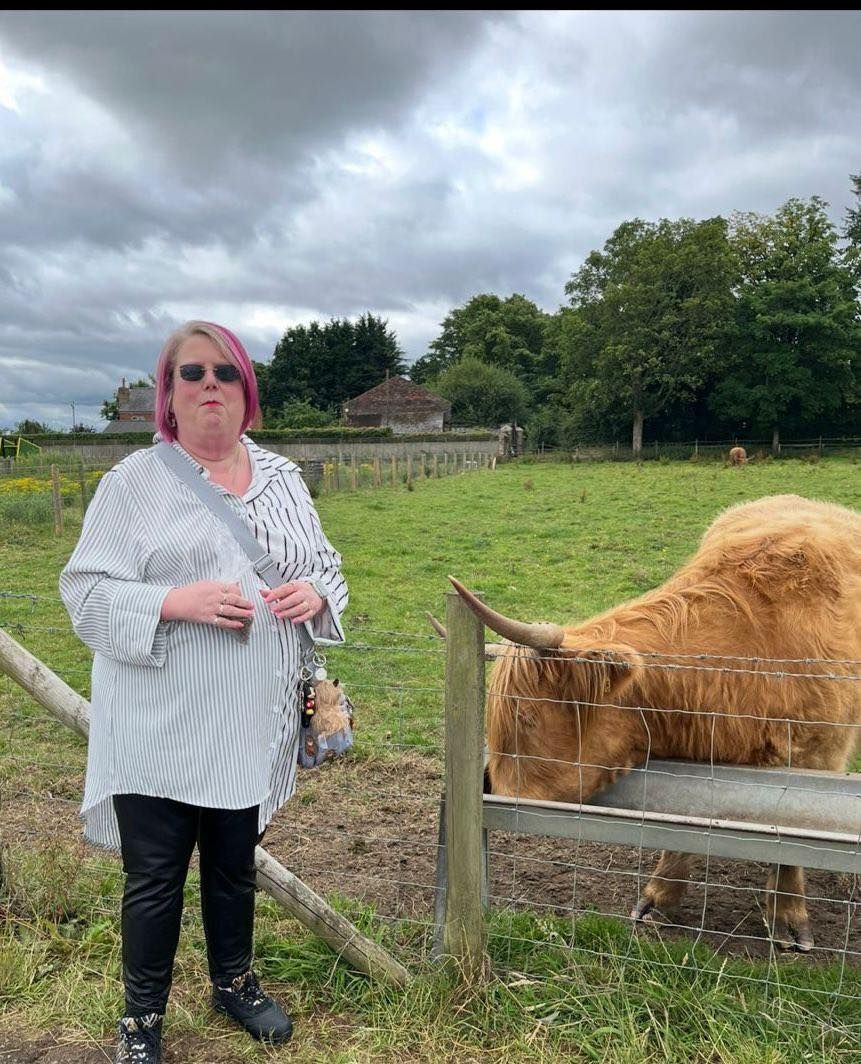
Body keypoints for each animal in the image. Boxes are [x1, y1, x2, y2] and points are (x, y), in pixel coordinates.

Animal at [447, 494, 861, 951]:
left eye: (527, 718)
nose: (494, 791)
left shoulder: (819, 758)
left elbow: (790, 841)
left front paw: (788, 919)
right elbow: (683, 829)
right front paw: (658, 899)